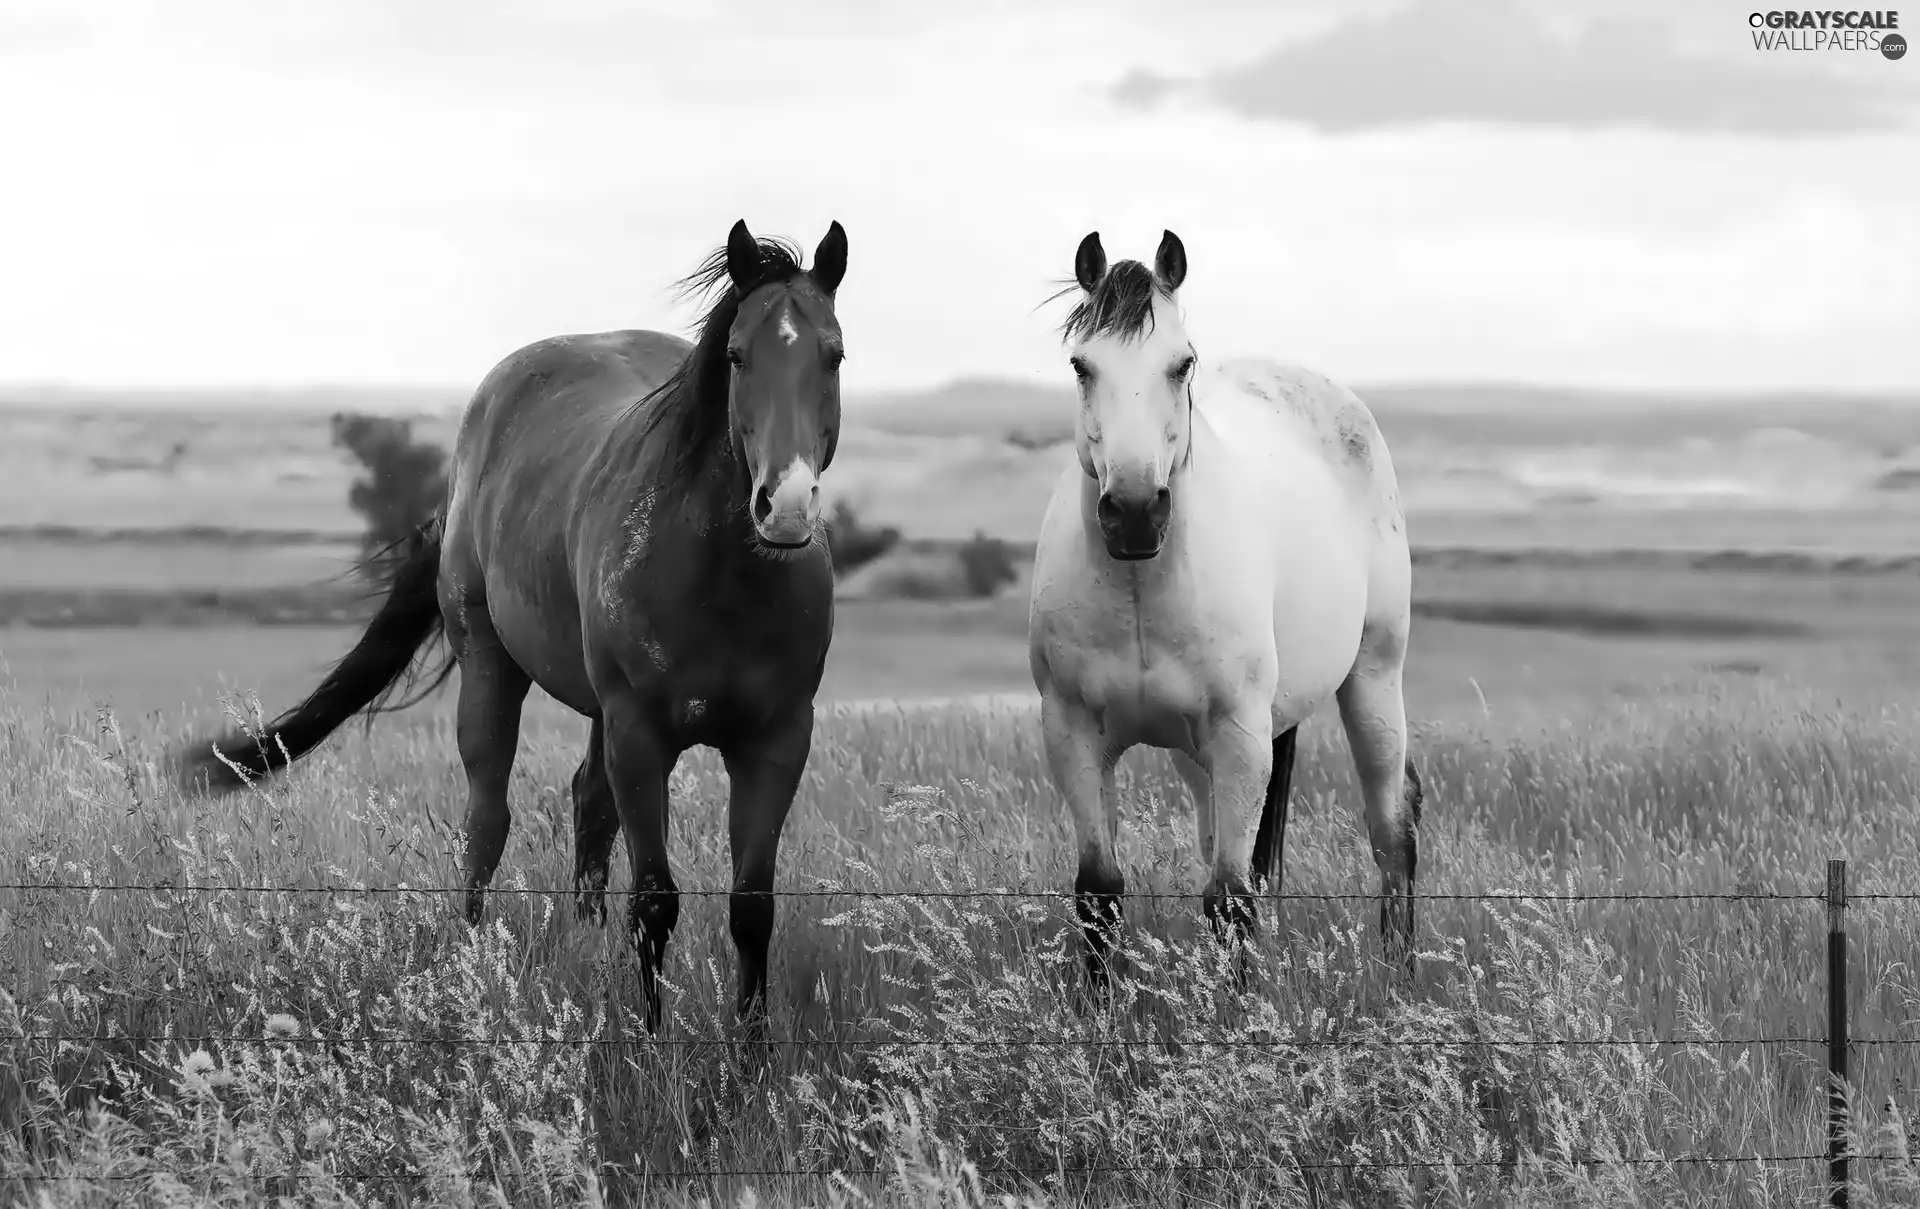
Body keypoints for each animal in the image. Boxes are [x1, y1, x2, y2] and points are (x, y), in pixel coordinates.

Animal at [183, 217, 852, 1036]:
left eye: (833, 353)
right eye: (736, 355)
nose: (784, 506)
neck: (724, 580)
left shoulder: (777, 740)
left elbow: (752, 907)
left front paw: (751, 1049)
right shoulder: (641, 733)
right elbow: (655, 900)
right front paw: (653, 1042)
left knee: (589, 806)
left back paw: (585, 942)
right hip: (492, 662)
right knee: (487, 817)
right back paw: (469, 958)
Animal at [1029, 232, 1420, 990]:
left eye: (1182, 363)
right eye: (1081, 365)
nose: (1133, 512)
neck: (1140, 587)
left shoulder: (1240, 738)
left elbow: (1231, 900)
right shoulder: (1073, 733)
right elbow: (1099, 892)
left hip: (1374, 677)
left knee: (1394, 830)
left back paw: (1400, 976)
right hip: (1201, 757)